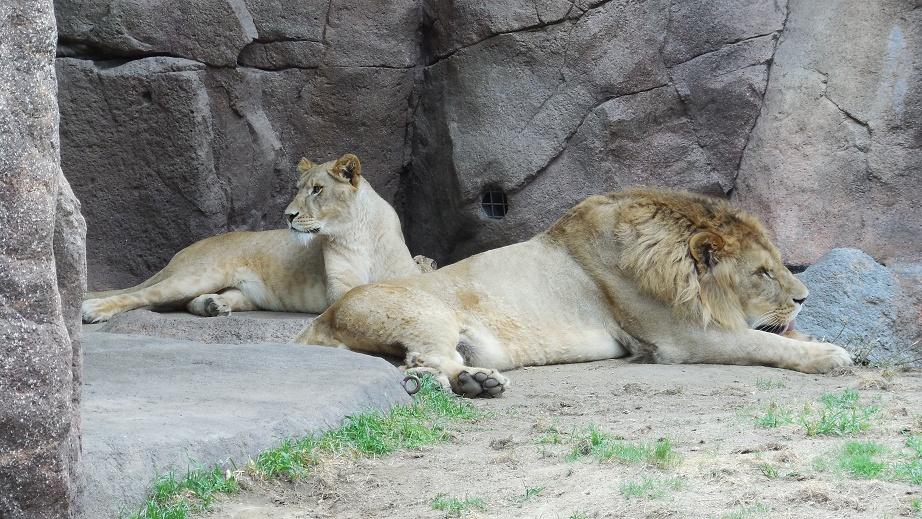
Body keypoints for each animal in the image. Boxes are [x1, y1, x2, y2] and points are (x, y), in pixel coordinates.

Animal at [82, 153, 433, 323]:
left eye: (317, 189)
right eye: (298, 188)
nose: (288, 215)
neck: (359, 231)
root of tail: (183, 251)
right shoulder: (338, 288)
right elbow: (363, 292)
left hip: (241, 293)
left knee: (192, 301)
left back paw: (213, 305)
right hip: (199, 274)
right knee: (145, 295)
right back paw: (94, 309)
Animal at [294, 188, 853, 397]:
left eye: (779, 263)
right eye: (763, 272)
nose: (804, 296)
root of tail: (321, 318)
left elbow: (779, 336)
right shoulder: (680, 341)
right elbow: (765, 342)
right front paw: (831, 355)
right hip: (427, 313)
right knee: (426, 363)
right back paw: (477, 383)